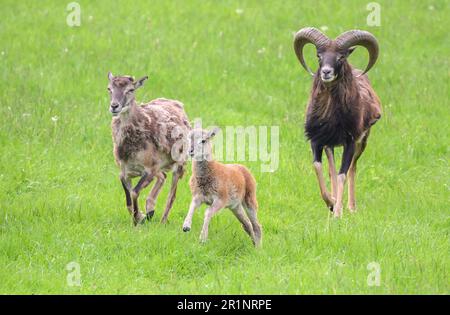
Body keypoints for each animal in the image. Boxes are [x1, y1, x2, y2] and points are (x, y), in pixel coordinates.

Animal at [108, 72, 191, 225]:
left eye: (130, 90)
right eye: (109, 89)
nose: (114, 106)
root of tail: (178, 104)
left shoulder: (149, 168)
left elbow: (134, 191)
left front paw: (137, 219)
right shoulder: (125, 170)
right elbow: (128, 197)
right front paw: (141, 216)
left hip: (179, 164)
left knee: (172, 195)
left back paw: (162, 221)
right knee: (163, 176)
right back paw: (150, 210)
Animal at [294, 27, 382, 217]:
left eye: (341, 57)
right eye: (319, 55)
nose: (326, 72)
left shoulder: (350, 142)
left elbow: (343, 174)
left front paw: (337, 213)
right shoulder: (318, 141)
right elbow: (320, 168)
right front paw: (331, 203)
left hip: (361, 143)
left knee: (352, 169)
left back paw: (351, 208)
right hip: (331, 147)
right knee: (332, 170)